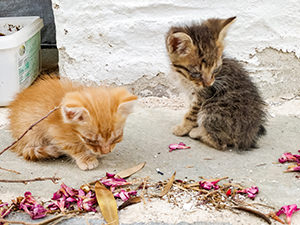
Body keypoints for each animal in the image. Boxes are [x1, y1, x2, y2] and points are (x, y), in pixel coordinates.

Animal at [8, 76, 137, 170]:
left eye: (117, 137)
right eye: (91, 140)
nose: (106, 151)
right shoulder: (56, 131)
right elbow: (73, 146)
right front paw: (86, 158)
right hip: (31, 132)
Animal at [166, 16, 268, 149]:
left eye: (215, 69)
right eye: (196, 73)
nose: (209, 83)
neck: (186, 80)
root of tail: (246, 136)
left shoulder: (203, 96)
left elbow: (191, 114)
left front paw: (183, 128)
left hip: (212, 107)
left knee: (221, 143)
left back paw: (198, 132)